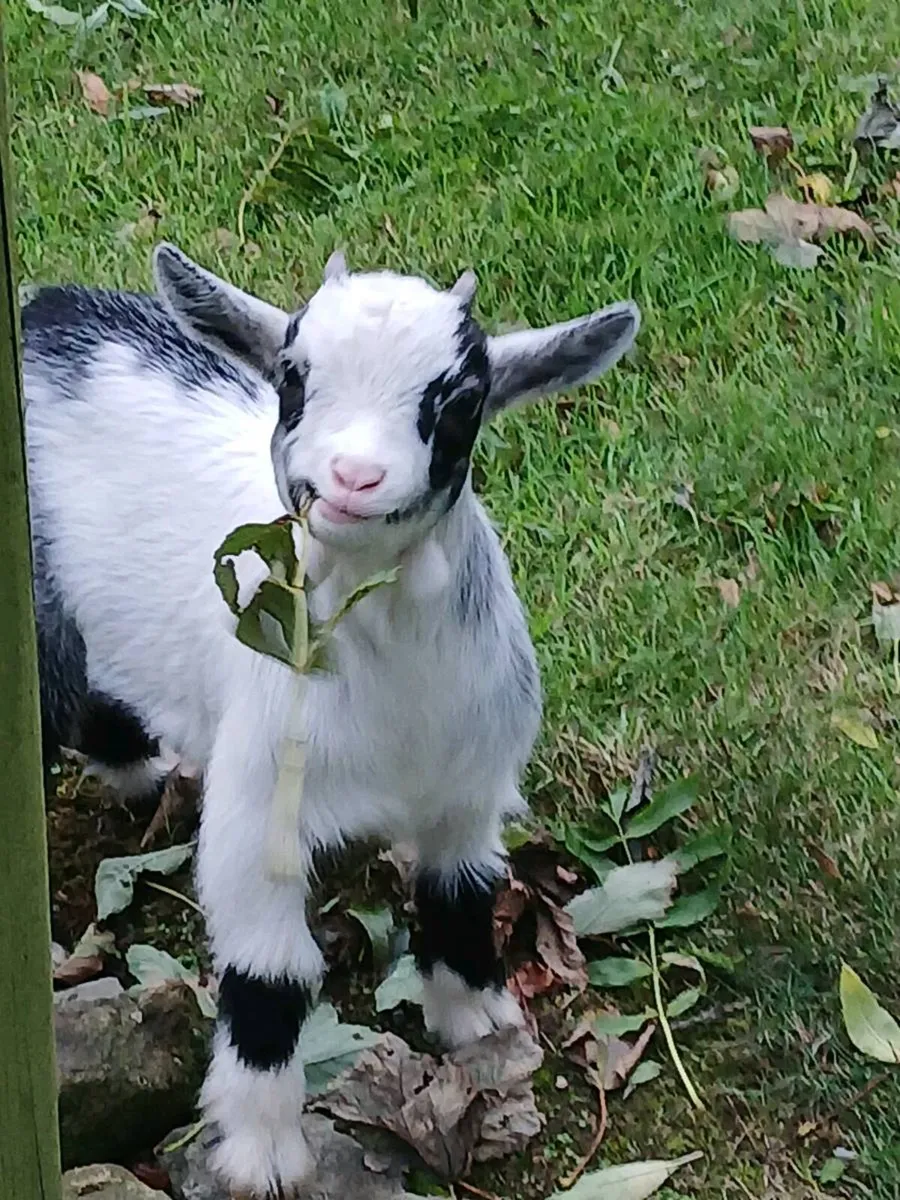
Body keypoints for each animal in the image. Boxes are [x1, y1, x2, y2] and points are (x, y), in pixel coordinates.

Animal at [25, 245, 639, 1197]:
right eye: (292, 376)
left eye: (460, 402)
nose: (355, 477)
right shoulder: (260, 812)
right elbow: (270, 976)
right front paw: (263, 1154)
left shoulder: (470, 785)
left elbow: (464, 894)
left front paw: (483, 1030)